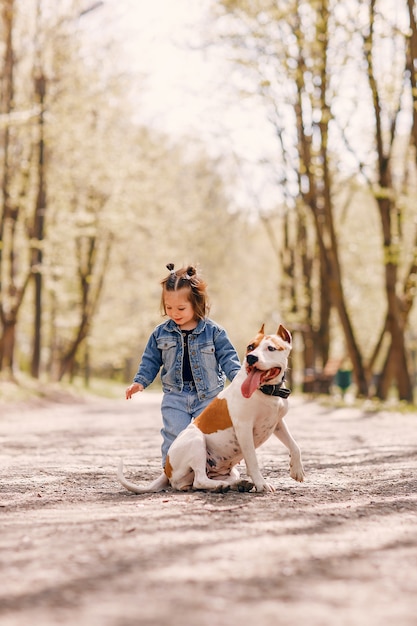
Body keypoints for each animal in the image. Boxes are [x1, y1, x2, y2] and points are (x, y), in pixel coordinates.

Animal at [118, 322, 304, 492]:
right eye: (250, 347)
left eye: (271, 348)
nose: (251, 357)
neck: (267, 391)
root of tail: (167, 469)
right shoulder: (244, 428)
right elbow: (253, 460)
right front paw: (261, 484)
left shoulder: (277, 423)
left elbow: (294, 445)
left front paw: (297, 470)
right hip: (196, 441)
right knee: (199, 480)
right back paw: (221, 486)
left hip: (225, 469)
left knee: (198, 482)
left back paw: (237, 484)